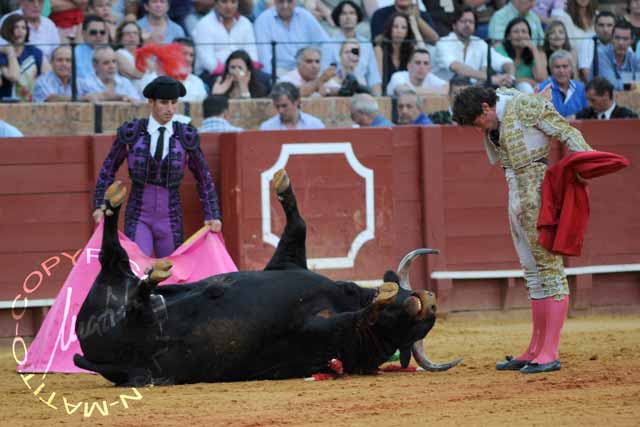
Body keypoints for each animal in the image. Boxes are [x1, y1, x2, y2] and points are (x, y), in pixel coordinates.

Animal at [75, 171, 462, 388]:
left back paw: (152, 278)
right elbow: (297, 228)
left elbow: (353, 319)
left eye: (416, 329)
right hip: (109, 283)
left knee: (138, 306)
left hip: (137, 334)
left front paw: (378, 301)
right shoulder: (286, 264)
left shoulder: (321, 332)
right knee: (114, 257)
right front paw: (283, 188)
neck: (341, 297)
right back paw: (116, 203)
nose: (428, 301)